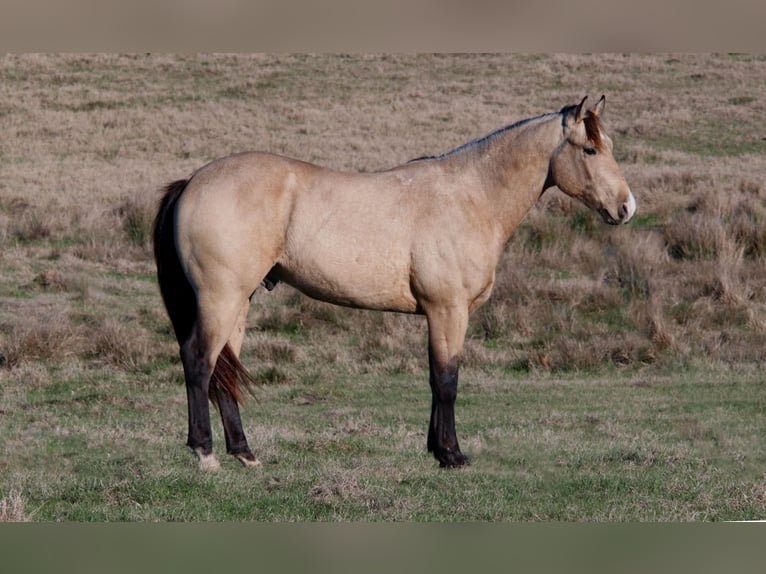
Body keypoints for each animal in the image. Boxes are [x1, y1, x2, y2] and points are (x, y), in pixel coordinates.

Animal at [153, 97, 640, 470]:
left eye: (609, 145)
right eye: (590, 150)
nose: (626, 207)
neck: (470, 195)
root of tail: (193, 180)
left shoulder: (440, 314)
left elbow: (435, 379)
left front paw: (436, 451)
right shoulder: (448, 310)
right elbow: (447, 380)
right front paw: (453, 455)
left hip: (240, 300)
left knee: (224, 368)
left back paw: (244, 453)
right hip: (220, 297)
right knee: (198, 360)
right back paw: (205, 453)